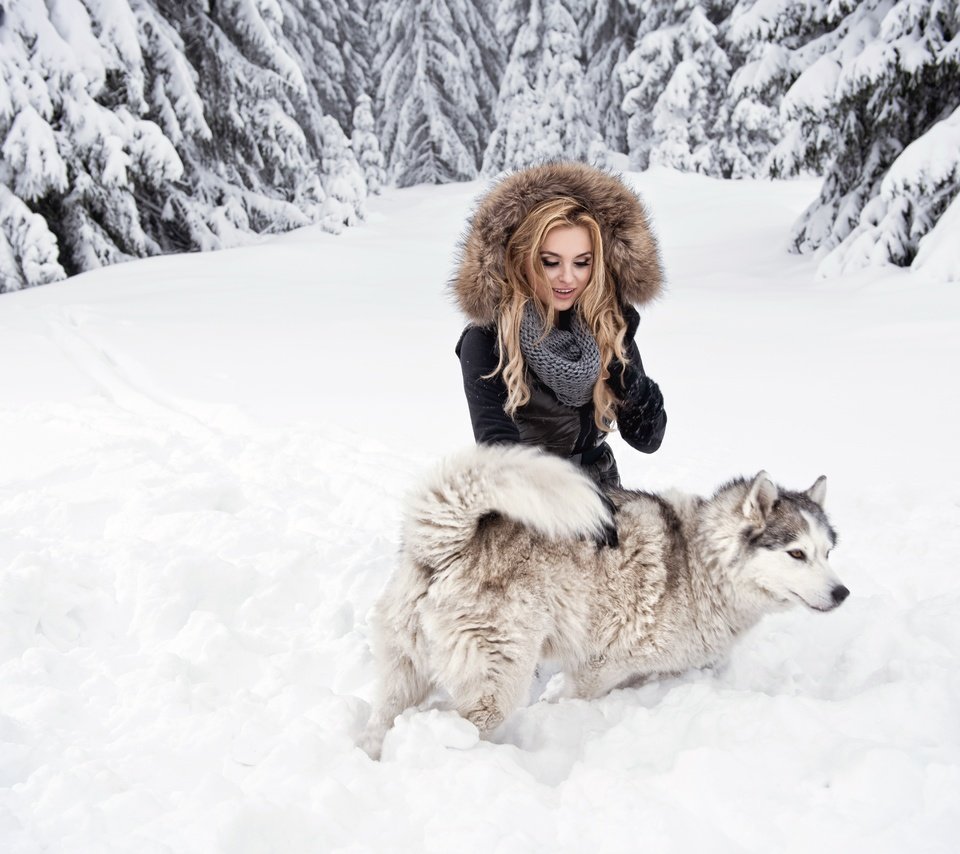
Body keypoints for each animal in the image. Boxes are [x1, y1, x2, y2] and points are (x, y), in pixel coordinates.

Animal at [362, 444, 848, 760]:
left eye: (828, 552)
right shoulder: (598, 666)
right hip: (497, 683)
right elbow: (569, 699)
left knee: (380, 723)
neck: (700, 560)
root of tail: (445, 544)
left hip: (405, 673)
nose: (842, 593)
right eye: (796, 554)